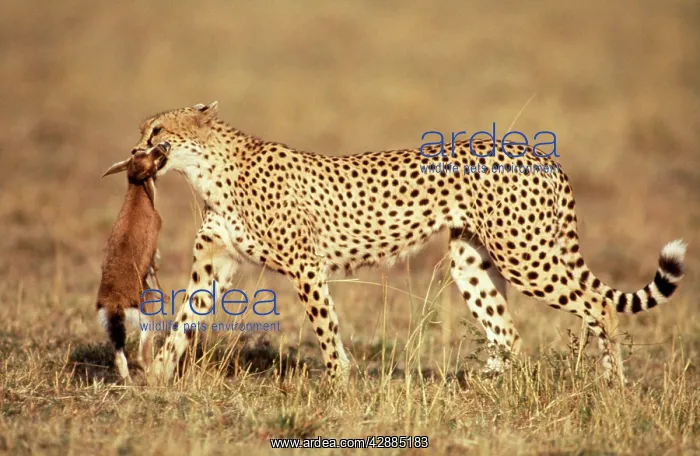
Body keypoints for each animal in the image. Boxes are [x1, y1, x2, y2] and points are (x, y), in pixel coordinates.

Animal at [122, 101, 685, 386]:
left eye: (158, 129)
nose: (133, 153)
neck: (209, 169)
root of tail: (539, 154)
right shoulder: (216, 264)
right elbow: (185, 318)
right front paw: (158, 378)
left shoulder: (306, 266)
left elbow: (325, 328)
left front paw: (339, 385)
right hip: (471, 262)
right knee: (507, 332)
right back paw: (482, 393)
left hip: (526, 254)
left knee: (598, 307)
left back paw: (611, 388)